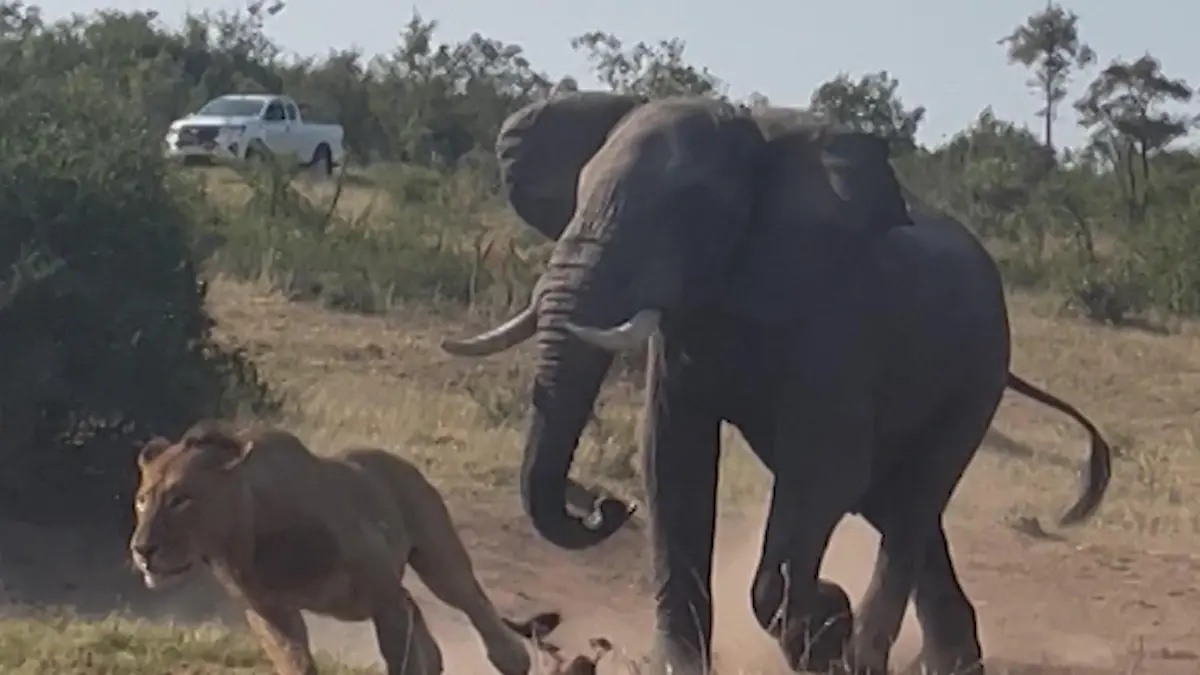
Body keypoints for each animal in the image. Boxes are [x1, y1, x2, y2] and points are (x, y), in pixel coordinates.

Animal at [440, 92, 1113, 675]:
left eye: (690, 217)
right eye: (577, 196)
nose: (602, 505)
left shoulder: (838, 317)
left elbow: (825, 469)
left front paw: (822, 623)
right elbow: (674, 459)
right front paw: (682, 663)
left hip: (977, 376)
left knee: (911, 500)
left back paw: (867, 657)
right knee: (897, 505)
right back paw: (947, 663)